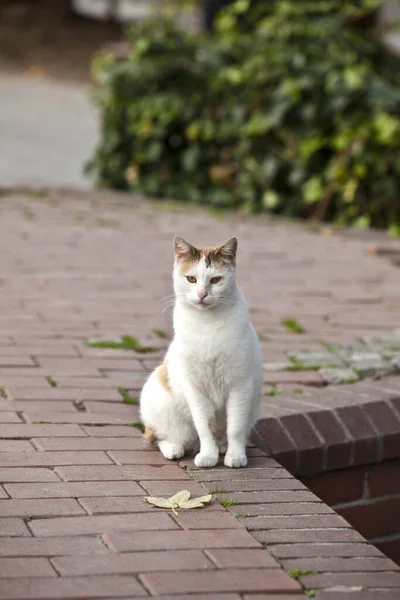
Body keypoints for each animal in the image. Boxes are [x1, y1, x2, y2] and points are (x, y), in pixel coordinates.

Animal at [140, 236, 262, 468]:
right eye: (191, 279)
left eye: (215, 280)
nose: (202, 294)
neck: (207, 324)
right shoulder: (195, 387)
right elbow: (205, 426)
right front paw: (208, 456)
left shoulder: (240, 385)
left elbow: (236, 427)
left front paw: (235, 456)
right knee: (158, 436)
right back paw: (174, 448)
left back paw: (223, 446)